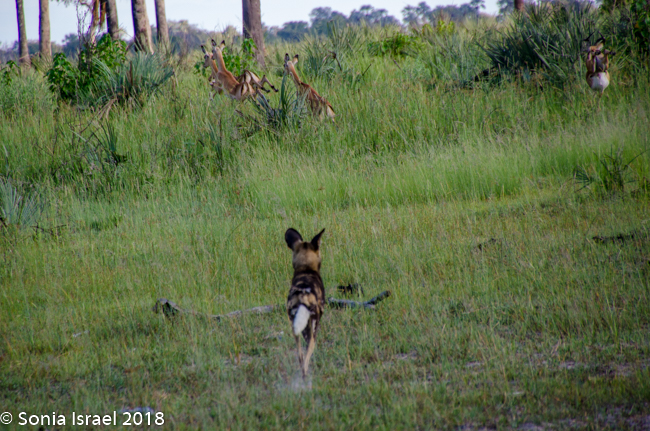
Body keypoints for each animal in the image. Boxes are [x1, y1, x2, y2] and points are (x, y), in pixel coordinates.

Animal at [285, 228, 326, 379]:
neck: (306, 268)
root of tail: (302, 293)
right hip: (312, 327)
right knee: (309, 351)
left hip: (294, 327)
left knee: (300, 355)